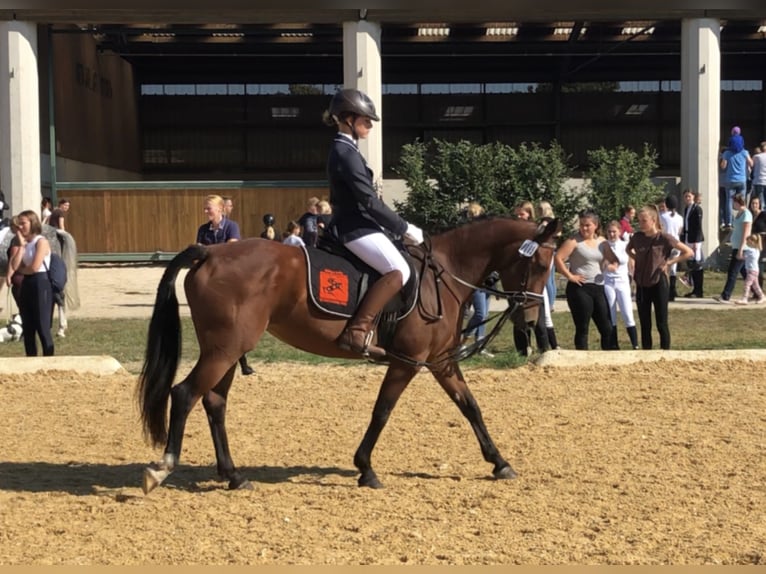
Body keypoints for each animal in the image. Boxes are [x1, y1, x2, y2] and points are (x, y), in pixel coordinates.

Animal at [138, 216, 564, 496]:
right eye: (541, 263)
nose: (530, 319)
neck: (445, 275)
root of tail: (210, 253)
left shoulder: (441, 361)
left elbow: (470, 406)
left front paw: (500, 462)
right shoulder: (407, 361)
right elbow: (382, 411)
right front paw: (366, 469)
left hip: (228, 350)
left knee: (213, 401)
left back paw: (234, 476)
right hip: (225, 349)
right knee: (185, 394)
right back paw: (162, 469)